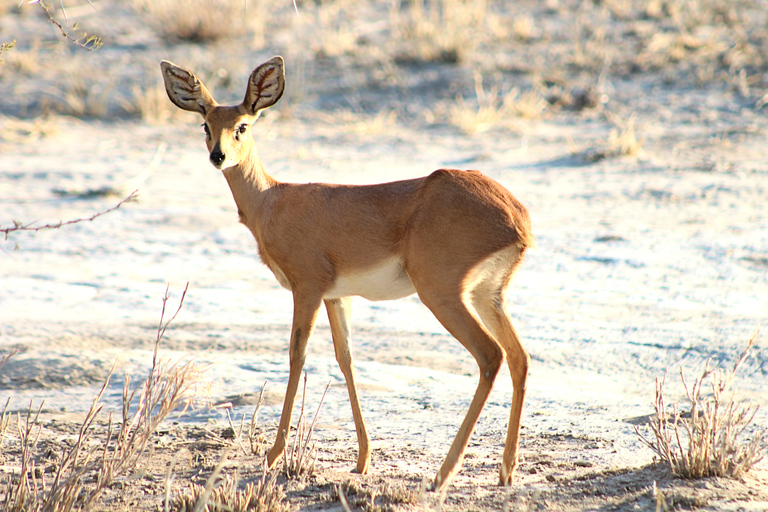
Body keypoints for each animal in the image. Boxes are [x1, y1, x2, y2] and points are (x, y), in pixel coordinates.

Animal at [162, 55, 536, 488]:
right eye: (206, 125)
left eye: (243, 125)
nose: (218, 156)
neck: (272, 202)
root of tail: (517, 219)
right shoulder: (336, 296)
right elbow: (346, 358)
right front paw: (362, 459)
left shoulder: (306, 289)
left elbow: (297, 354)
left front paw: (273, 454)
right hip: (486, 295)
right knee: (519, 357)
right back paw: (505, 471)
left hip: (442, 295)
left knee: (490, 356)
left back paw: (443, 474)